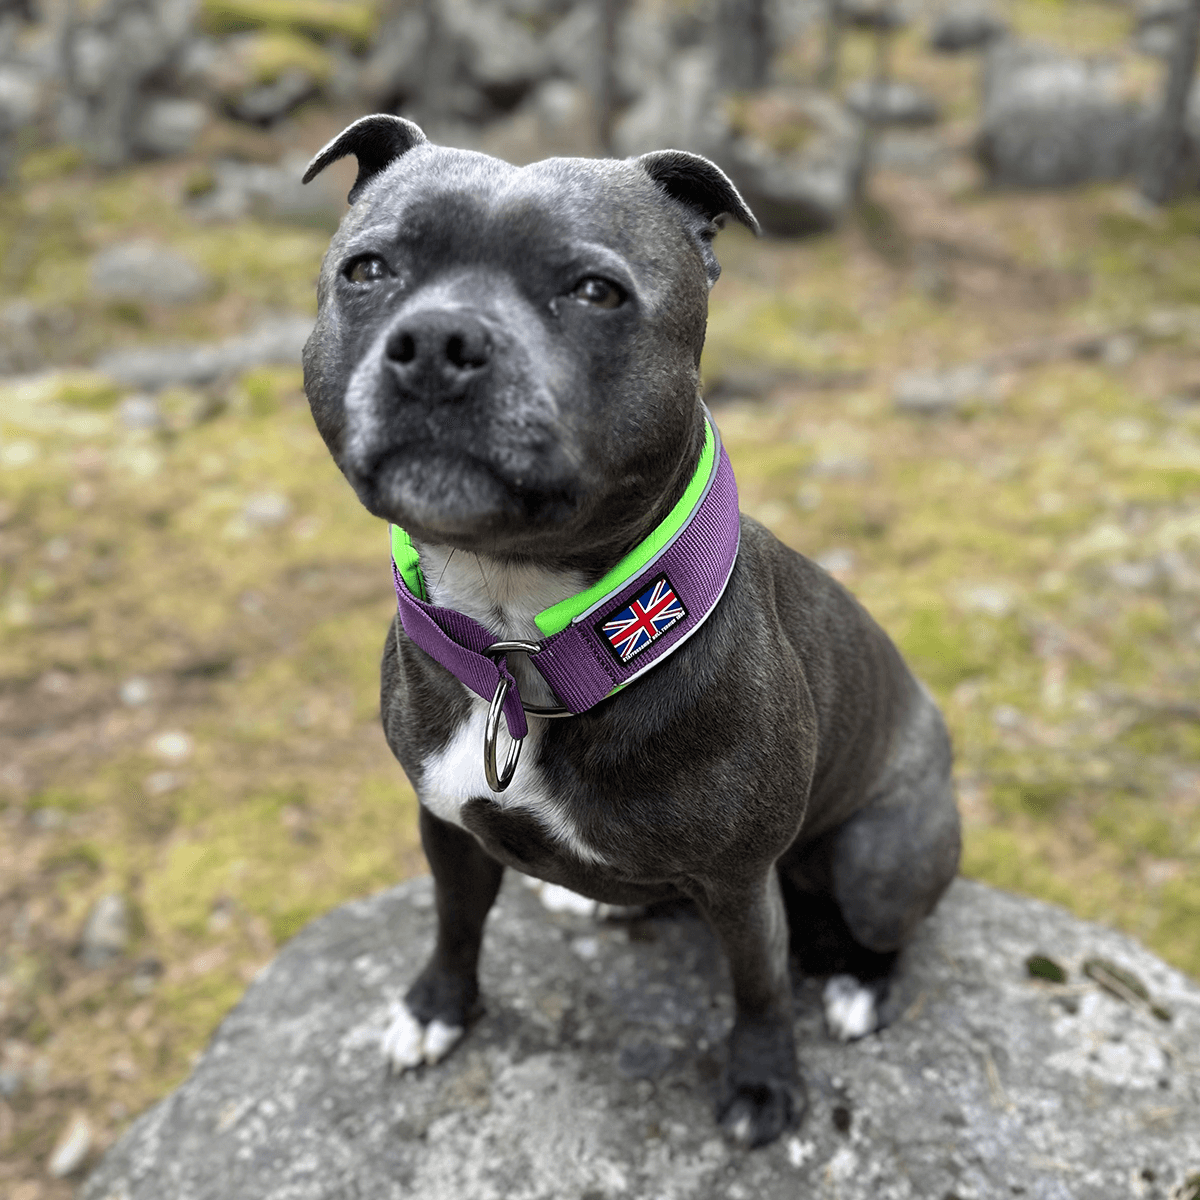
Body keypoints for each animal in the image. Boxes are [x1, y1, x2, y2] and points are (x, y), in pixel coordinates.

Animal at [302, 114, 964, 1152]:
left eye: (594, 290)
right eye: (367, 270)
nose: (439, 339)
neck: (523, 640)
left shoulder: (740, 882)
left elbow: (760, 985)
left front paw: (765, 1085)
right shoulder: (444, 822)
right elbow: (455, 923)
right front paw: (437, 1008)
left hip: (879, 856)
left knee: (883, 925)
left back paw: (860, 984)